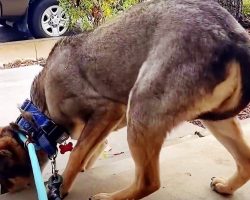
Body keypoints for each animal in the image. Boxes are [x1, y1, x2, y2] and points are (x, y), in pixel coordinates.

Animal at [0, 0, 250, 198]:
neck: (40, 119)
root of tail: (233, 36)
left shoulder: (108, 110)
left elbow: (78, 153)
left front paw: (61, 187)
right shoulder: (103, 124)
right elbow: (93, 147)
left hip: (141, 109)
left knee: (149, 182)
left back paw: (109, 198)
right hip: (216, 120)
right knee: (246, 162)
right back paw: (226, 187)